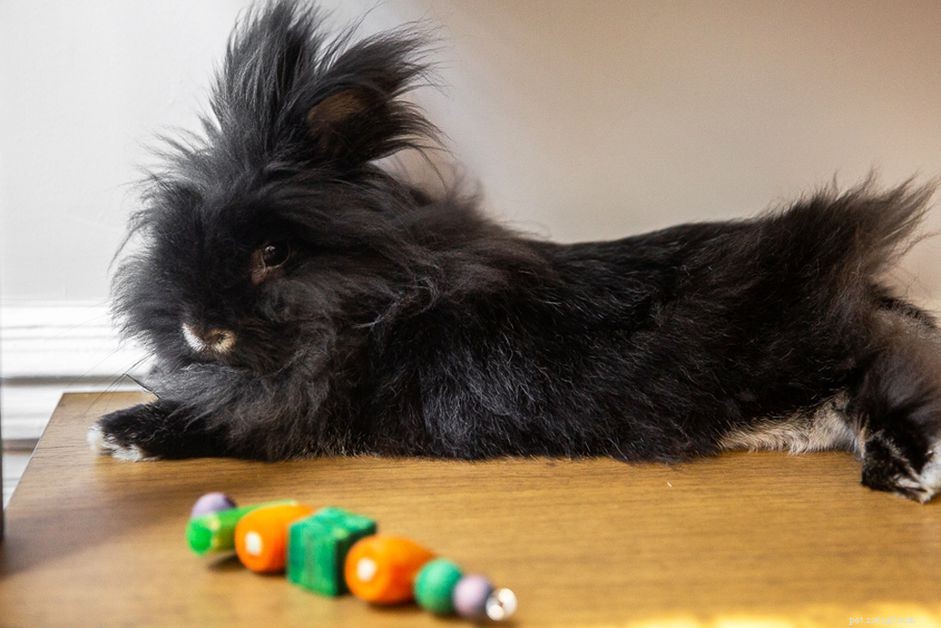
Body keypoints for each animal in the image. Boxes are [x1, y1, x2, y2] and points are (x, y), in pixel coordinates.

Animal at [88, 1, 941, 503]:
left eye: (272, 252)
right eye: (172, 232)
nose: (199, 327)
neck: (378, 298)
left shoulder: (303, 408)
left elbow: (229, 421)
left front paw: (121, 430)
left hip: (827, 348)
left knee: (894, 385)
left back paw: (906, 475)